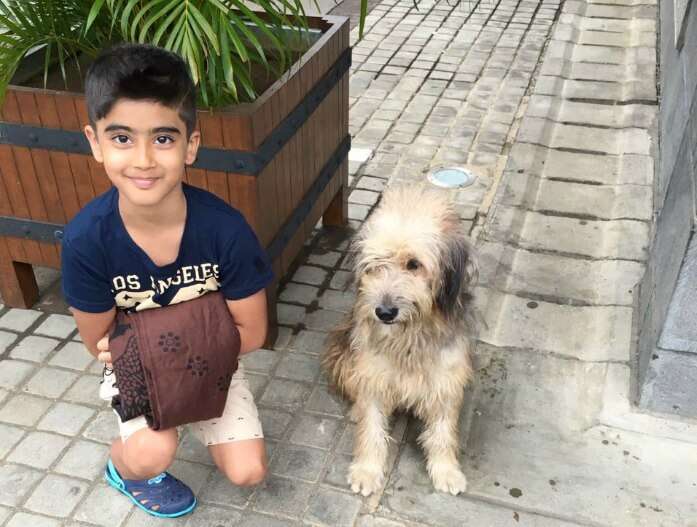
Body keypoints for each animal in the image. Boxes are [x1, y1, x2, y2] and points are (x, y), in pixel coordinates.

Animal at [322, 185, 476, 496]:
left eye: (413, 264)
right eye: (374, 265)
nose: (384, 312)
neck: (409, 337)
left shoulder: (447, 377)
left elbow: (443, 431)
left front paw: (447, 470)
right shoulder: (373, 375)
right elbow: (371, 427)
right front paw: (367, 470)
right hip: (343, 352)